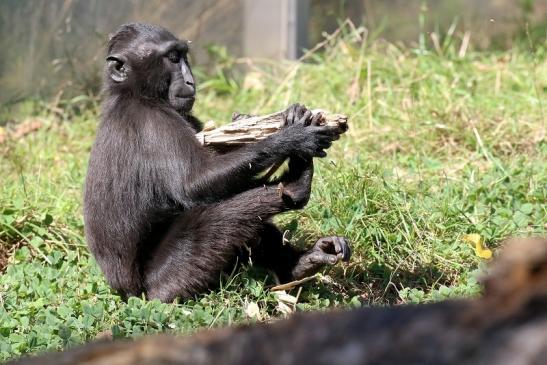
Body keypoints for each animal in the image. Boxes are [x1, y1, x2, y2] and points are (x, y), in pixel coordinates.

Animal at [84, 23, 354, 302]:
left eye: (184, 55)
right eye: (173, 57)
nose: (190, 80)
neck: (132, 93)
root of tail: (127, 292)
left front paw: (247, 121)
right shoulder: (153, 123)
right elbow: (196, 183)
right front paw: (292, 138)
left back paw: (299, 265)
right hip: (167, 282)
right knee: (220, 215)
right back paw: (296, 184)